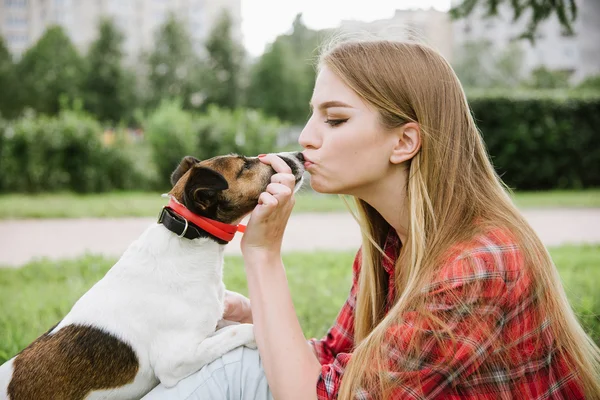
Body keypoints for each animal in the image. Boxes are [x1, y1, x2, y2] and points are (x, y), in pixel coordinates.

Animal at [0, 152, 308, 398]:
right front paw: (259, 338)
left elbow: (230, 324)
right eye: (245, 165)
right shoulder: (174, 361)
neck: (189, 243)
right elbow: (243, 329)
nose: (300, 155)